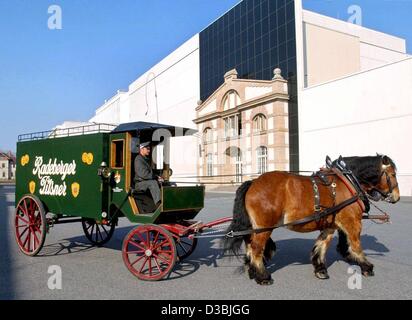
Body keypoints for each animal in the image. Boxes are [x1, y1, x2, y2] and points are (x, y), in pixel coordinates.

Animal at [224, 155, 400, 284]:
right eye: (392, 174)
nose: (396, 197)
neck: (347, 181)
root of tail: (253, 182)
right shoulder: (352, 223)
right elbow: (356, 246)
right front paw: (366, 266)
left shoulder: (330, 226)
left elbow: (321, 246)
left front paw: (320, 269)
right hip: (265, 227)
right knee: (256, 248)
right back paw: (263, 276)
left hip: (256, 226)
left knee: (249, 244)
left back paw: (252, 271)